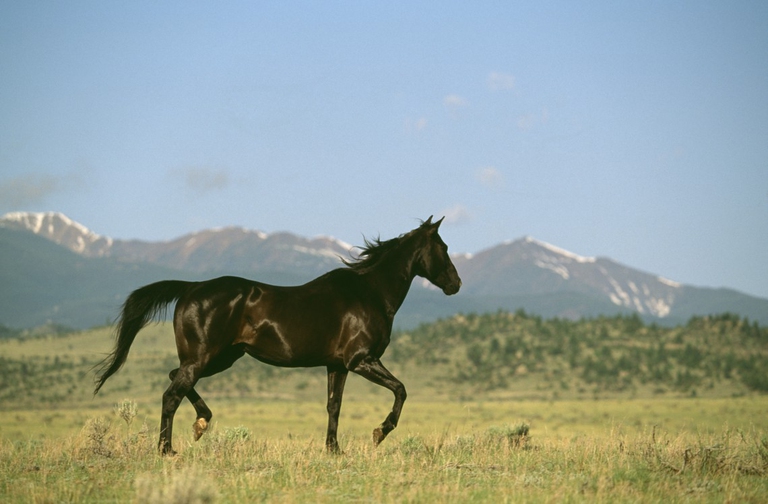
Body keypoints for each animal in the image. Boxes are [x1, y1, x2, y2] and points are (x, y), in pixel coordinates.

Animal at [93, 216, 461, 455]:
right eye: (442, 247)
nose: (456, 284)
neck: (369, 292)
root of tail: (190, 288)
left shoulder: (337, 365)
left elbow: (334, 406)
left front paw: (334, 450)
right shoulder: (361, 360)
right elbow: (401, 390)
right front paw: (378, 433)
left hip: (218, 358)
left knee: (175, 380)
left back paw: (201, 424)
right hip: (205, 358)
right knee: (171, 395)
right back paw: (167, 449)